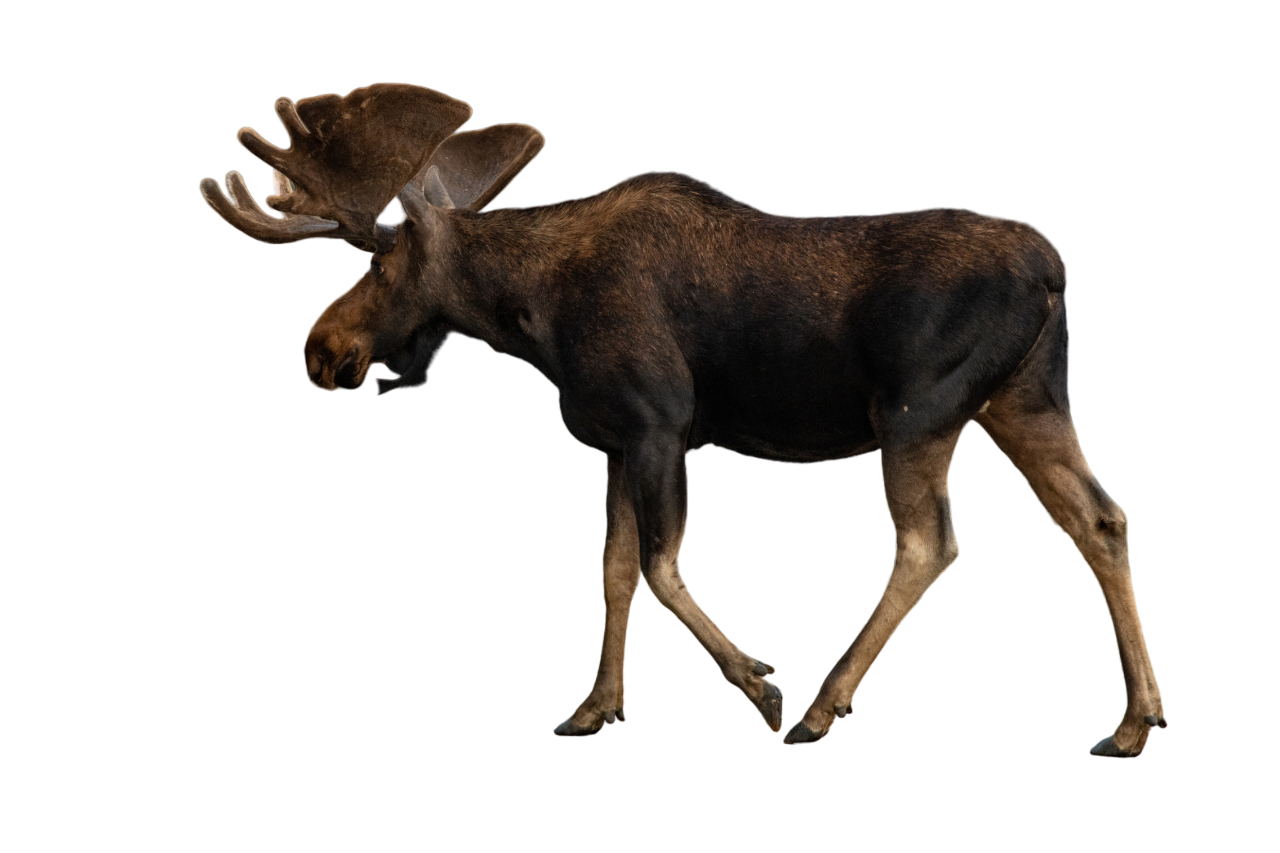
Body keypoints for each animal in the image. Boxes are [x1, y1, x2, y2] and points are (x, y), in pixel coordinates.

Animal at [199, 82, 1166, 755]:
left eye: (376, 260)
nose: (318, 350)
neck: (533, 317)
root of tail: (1053, 272)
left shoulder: (659, 422)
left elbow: (663, 568)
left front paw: (763, 685)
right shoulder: (608, 441)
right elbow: (615, 569)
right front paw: (595, 705)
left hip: (916, 414)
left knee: (930, 542)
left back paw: (821, 706)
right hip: (1028, 401)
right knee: (1101, 516)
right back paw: (1135, 718)